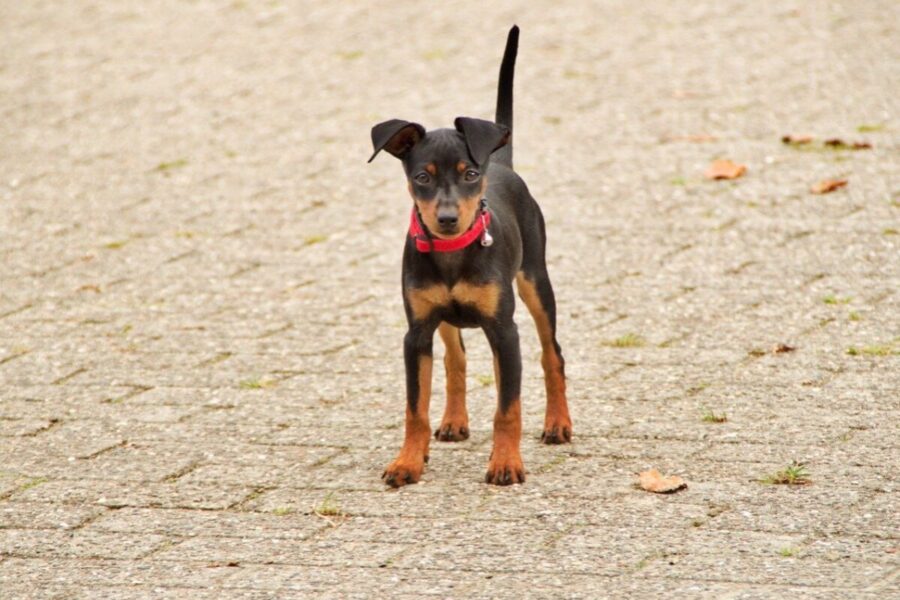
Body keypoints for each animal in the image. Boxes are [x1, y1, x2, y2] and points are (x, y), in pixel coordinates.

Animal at [368, 27, 568, 488]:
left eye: (470, 175)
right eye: (422, 177)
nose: (446, 218)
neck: (452, 253)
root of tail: (503, 161)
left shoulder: (505, 329)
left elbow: (508, 408)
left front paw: (506, 463)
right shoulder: (416, 333)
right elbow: (415, 408)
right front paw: (408, 461)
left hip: (535, 283)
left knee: (552, 355)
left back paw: (557, 424)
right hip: (444, 319)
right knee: (455, 357)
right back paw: (454, 421)